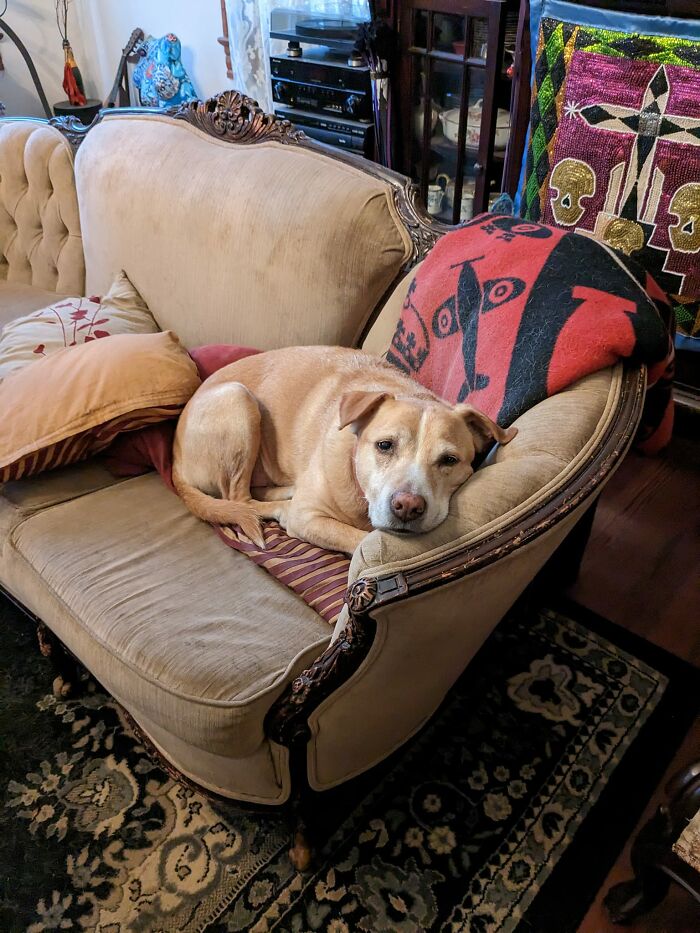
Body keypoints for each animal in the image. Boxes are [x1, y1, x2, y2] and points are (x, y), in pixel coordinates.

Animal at [172, 348, 516, 552]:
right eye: (384, 446)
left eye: (449, 460)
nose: (407, 507)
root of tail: (174, 453)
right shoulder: (309, 518)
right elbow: (361, 541)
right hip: (238, 399)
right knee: (238, 498)